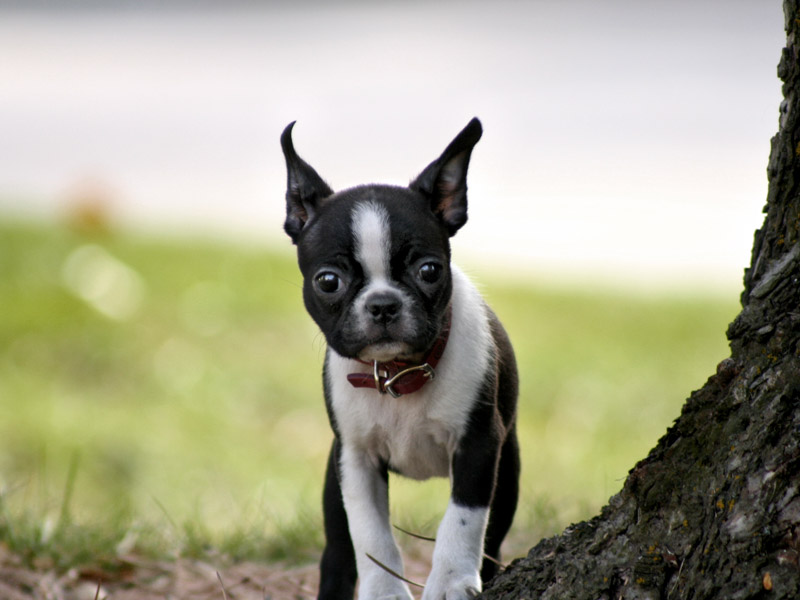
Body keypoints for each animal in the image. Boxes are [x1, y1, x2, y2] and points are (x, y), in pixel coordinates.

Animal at [280, 118, 520, 600]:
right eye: (328, 281)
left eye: (429, 271)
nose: (383, 304)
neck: (399, 374)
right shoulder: (354, 458)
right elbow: (370, 532)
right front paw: (384, 591)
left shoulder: (480, 444)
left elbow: (463, 519)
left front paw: (449, 581)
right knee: (338, 547)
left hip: (510, 467)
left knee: (494, 536)